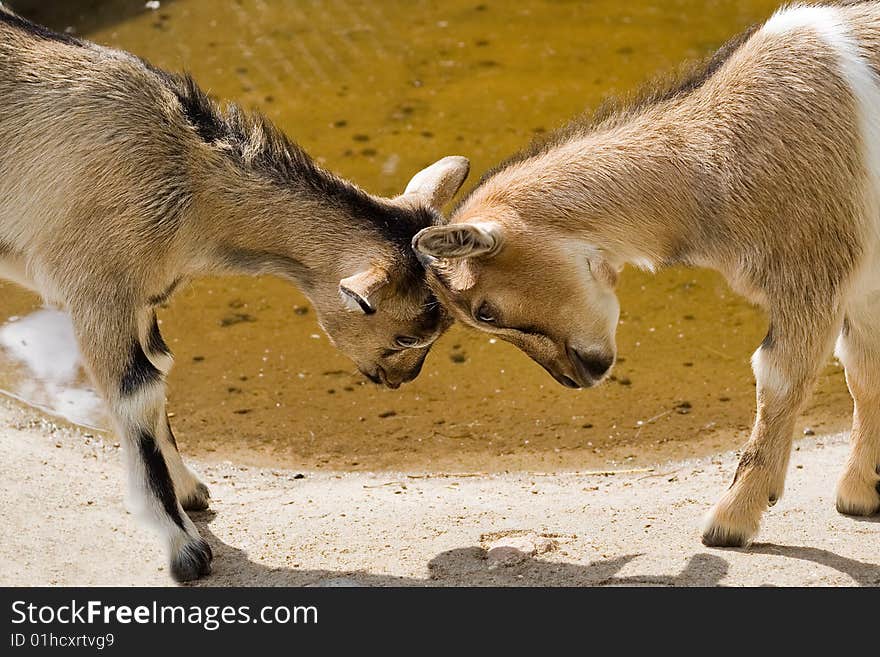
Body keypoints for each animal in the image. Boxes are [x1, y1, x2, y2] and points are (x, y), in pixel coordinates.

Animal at [0, 5, 470, 580]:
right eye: (407, 336)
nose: (400, 380)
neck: (187, 175)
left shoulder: (141, 299)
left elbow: (160, 372)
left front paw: (190, 491)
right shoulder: (97, 291)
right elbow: (138, 391)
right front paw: (183, 548)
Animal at [416, 1, 880, 548]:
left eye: (485, 310)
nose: (576, 375)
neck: (719, 153)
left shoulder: (811, 272)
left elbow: (779, 378)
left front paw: (731, 519)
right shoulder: (863, 281)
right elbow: (864, 370)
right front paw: (861, 491)